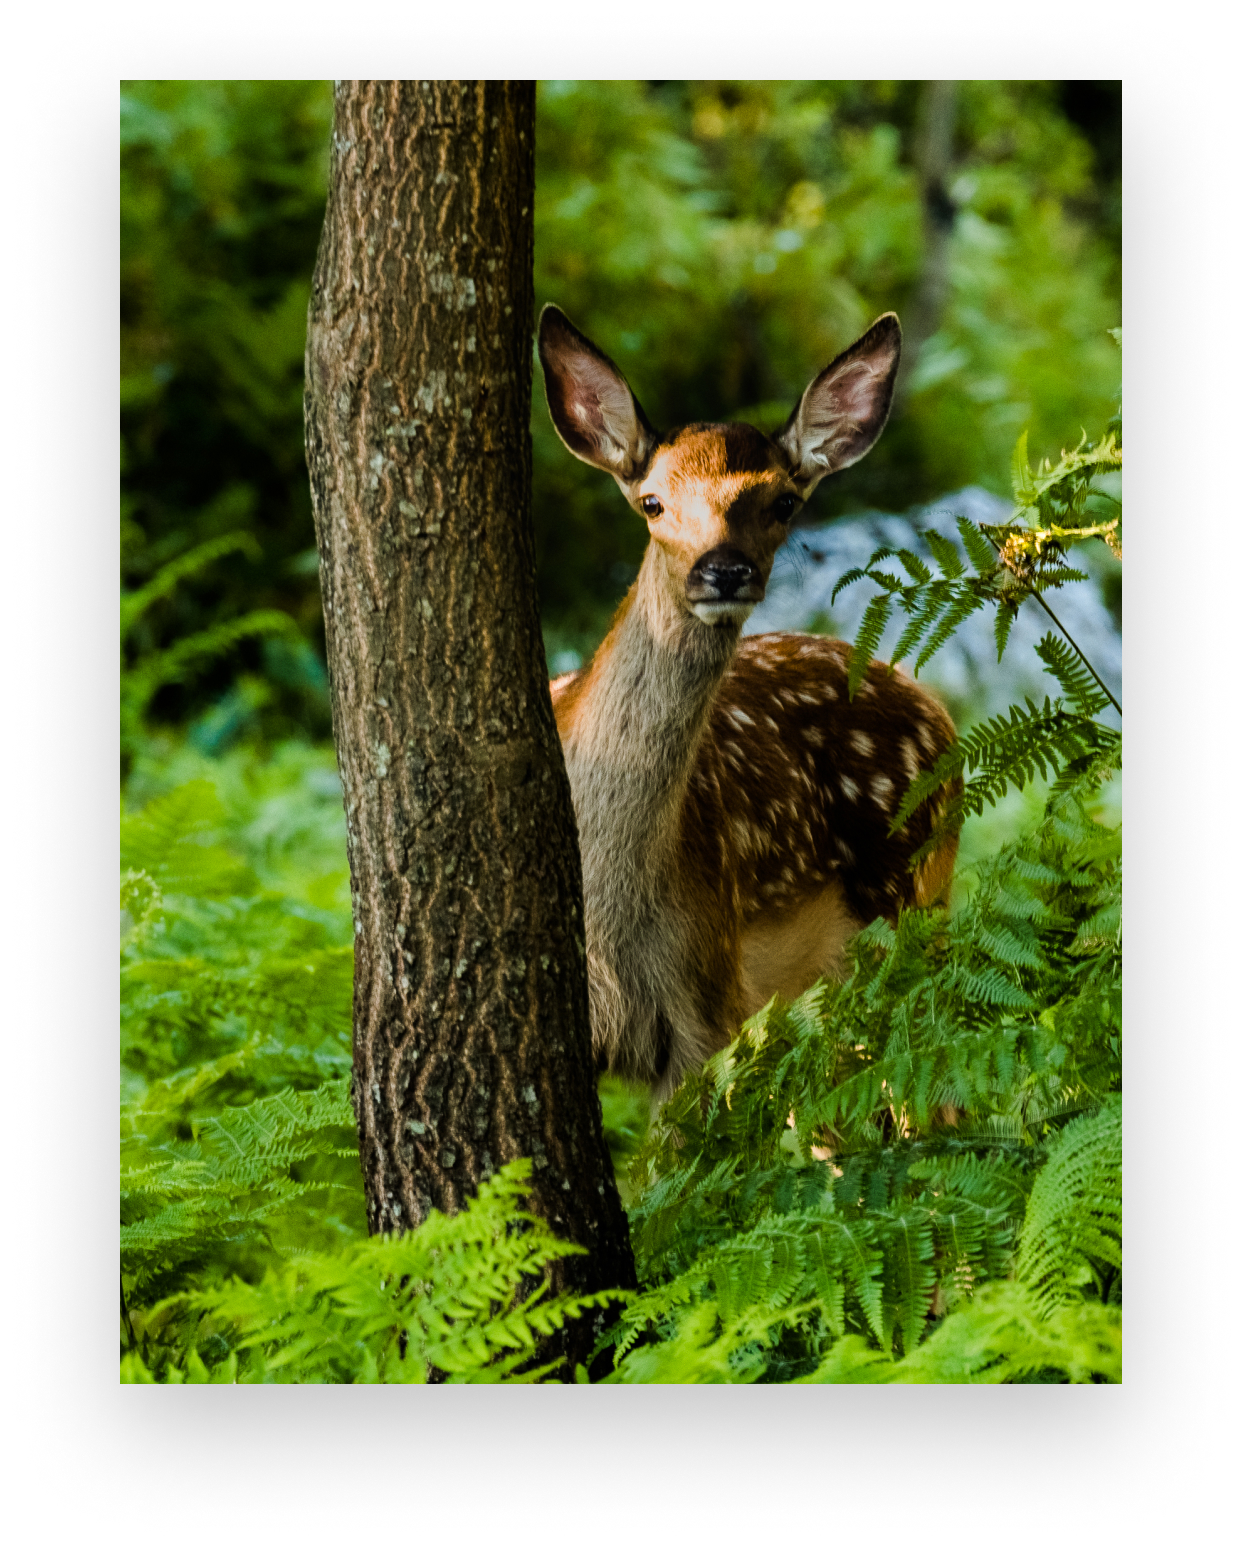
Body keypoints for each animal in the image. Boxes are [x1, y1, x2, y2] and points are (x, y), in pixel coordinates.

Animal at [537, 301, 957, 1105]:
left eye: (783, 502)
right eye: (653, 501)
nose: (722, 570)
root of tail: (937, 707)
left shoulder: (706, 1003)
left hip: (910, 905)